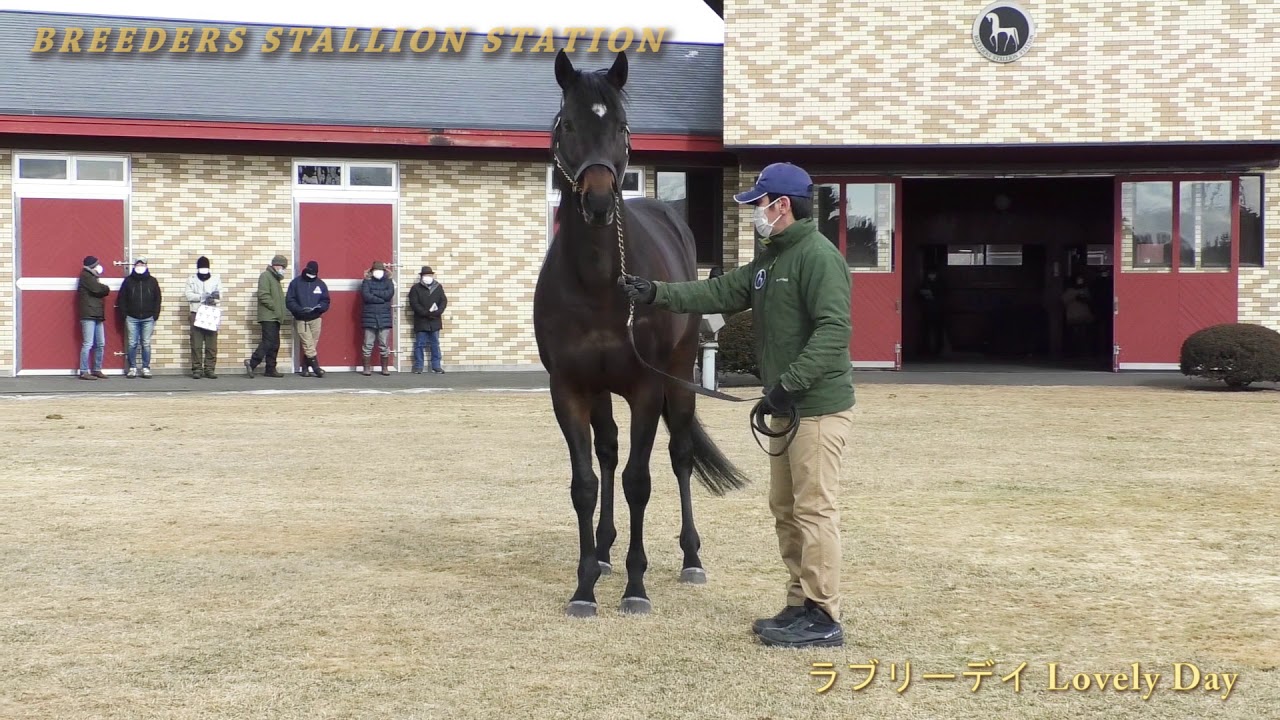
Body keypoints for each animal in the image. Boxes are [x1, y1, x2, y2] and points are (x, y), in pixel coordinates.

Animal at [532, 49, 747, 617]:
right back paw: (604, 551)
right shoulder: (569, 389)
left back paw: (690, 558)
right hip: (602, 390)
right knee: (607, 451)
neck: (598, 285)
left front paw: (636, 586)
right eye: (568, 124)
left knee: (680, 456)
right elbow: (586, 483)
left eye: (622, 127)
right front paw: (585, 586)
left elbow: (639, 481)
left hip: (678, 378)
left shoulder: (647, 389)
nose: (599, 202)